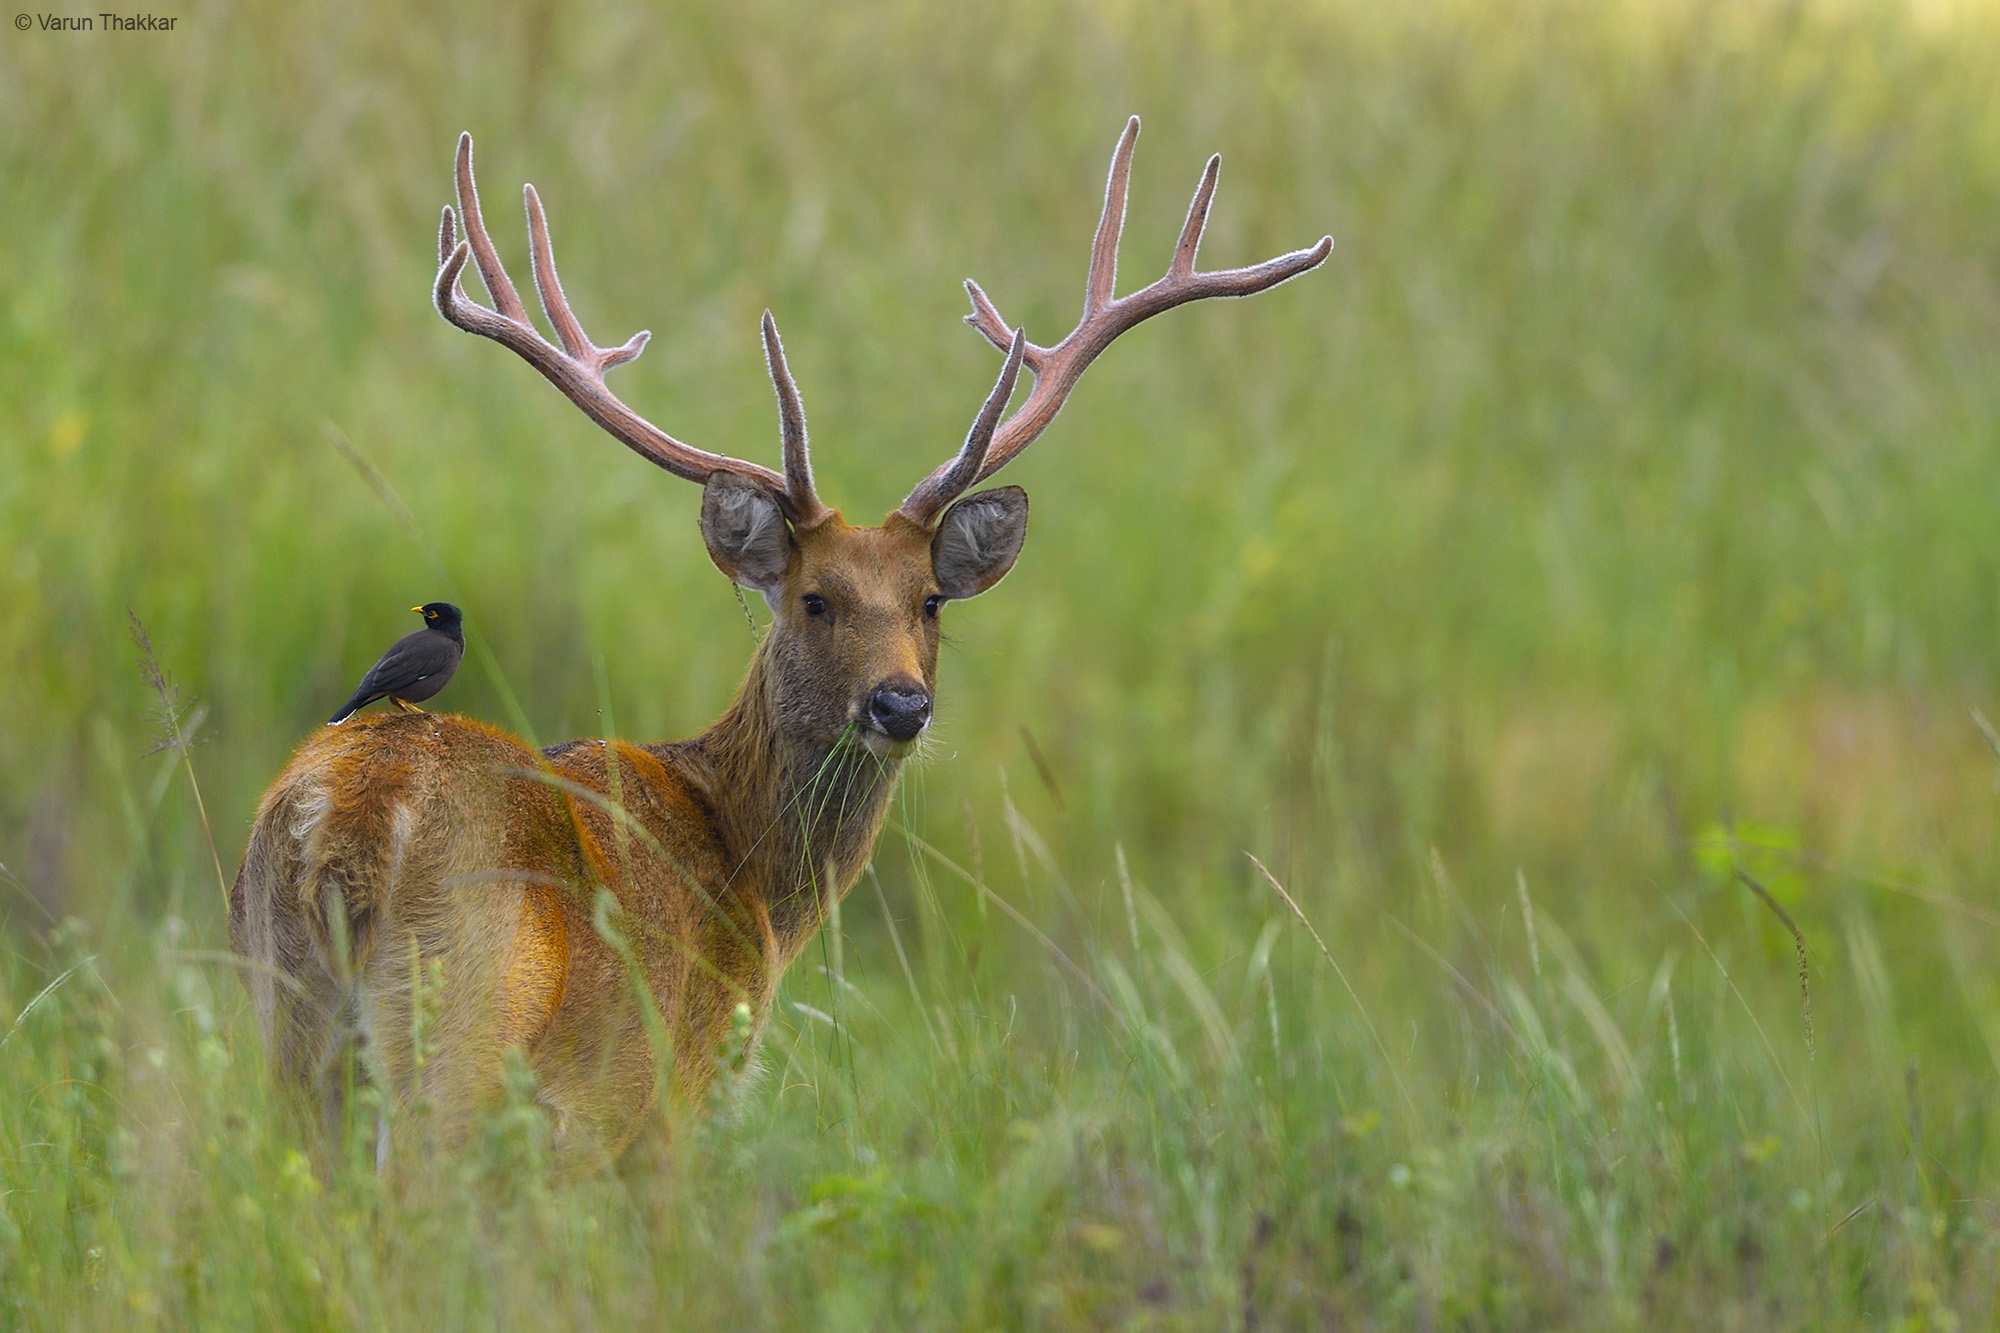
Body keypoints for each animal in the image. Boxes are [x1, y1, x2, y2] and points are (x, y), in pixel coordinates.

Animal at [228, 118, 1331, 1165]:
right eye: (814, 598)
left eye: (931, 600)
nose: (899, 703)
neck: (749, 875)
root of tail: (339, 824)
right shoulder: (658, 1091)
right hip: (453, 1034)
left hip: (287, 1023)